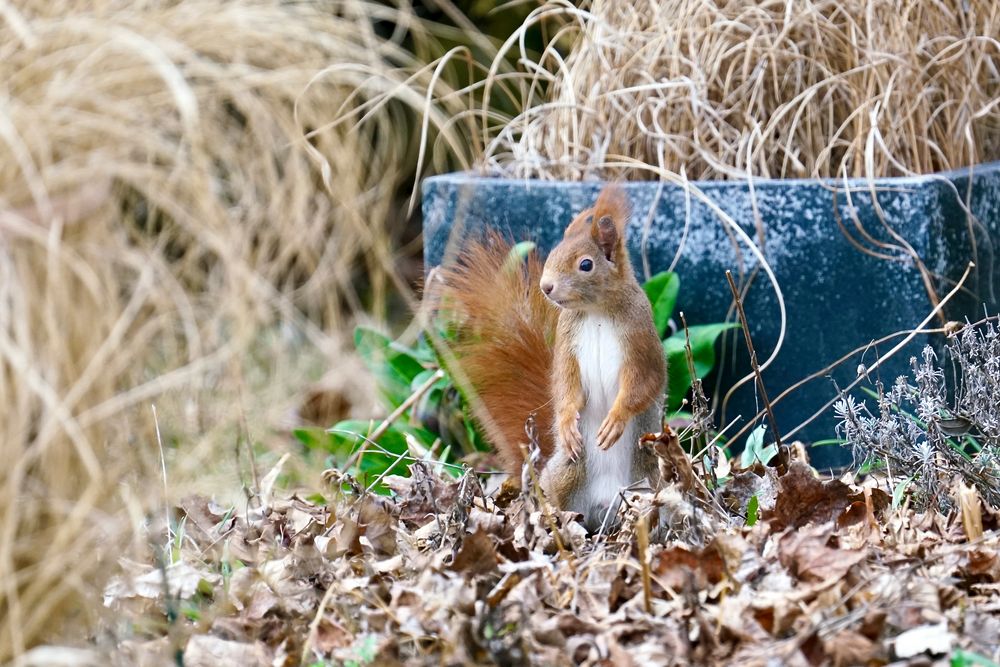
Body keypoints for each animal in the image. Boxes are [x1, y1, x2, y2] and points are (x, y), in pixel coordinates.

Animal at [434, 185, 668, 528]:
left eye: (586, 265)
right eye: (554, 253)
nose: (546, 287)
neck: (596, 312)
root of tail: (604, 506)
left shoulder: (641, 341)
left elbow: (644, 383)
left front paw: (616, 418)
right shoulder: (567, 345)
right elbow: (565, 385)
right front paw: (567, 420)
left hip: (649, 482)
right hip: (567, 472)